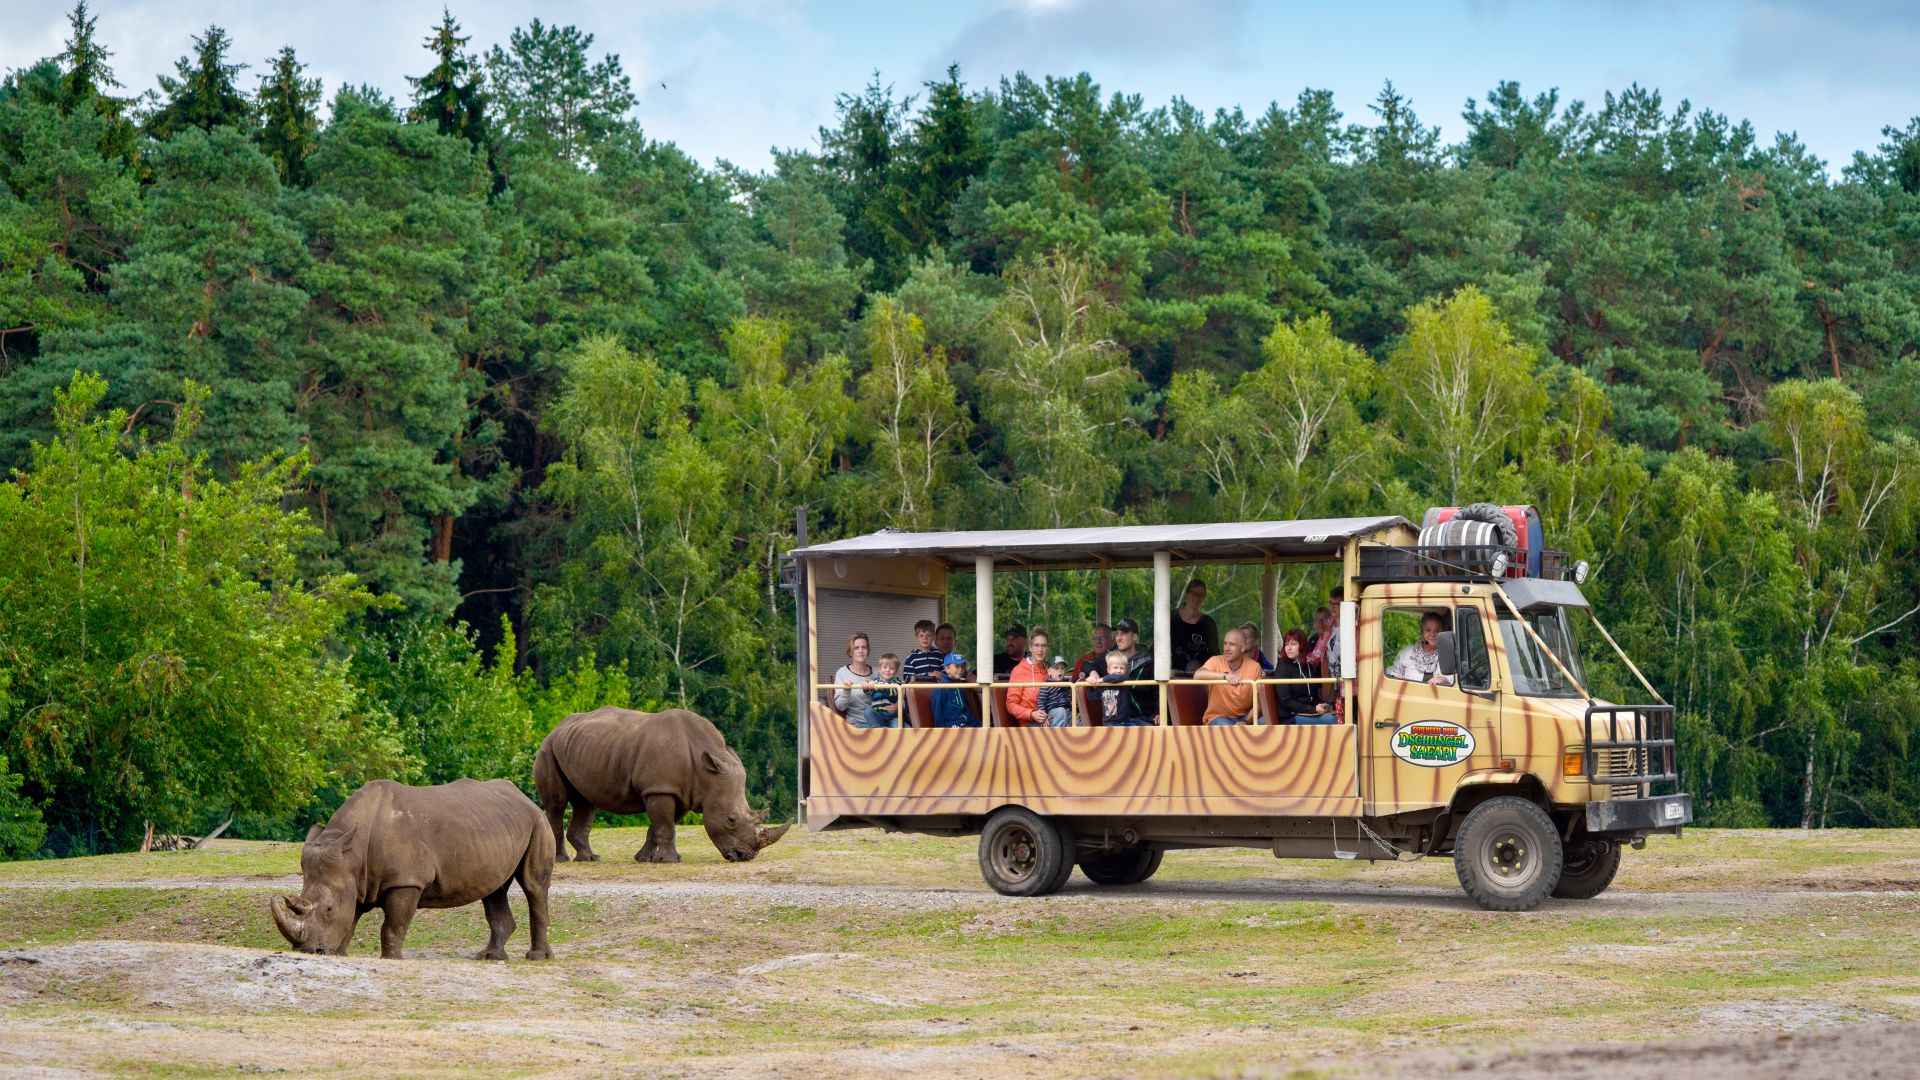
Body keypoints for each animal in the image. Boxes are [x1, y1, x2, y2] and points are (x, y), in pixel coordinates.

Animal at [264, 772, 549, 957]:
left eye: (329, 909)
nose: (309, 950)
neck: (353, 854)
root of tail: (524, 797)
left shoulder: (405, 881)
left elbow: (393, 925)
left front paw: (391, 959)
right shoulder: (357, 881)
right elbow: (352, 919)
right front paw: (339, 953)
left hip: (538, 821)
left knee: (533, 885)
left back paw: (536, 957)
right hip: (497, 827)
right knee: (494, 890)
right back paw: (490, 956)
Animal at [529, 703, 791, 860]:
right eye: (731, 819)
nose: (745, 856)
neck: (706, 774)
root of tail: (556, 728)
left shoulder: (679, 791)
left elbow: (659, 825)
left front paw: (645, 859)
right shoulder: (660, 789)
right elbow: (665, 825)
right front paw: (670, 861)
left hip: (579, 747)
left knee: (585, 802)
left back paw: (590, 859)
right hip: (547, 749)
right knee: (557, 804)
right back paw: (560, 859)